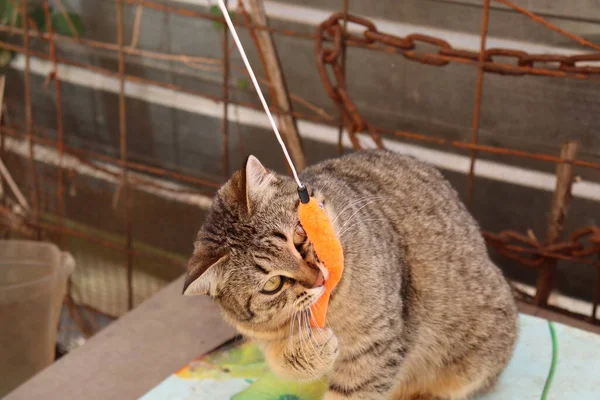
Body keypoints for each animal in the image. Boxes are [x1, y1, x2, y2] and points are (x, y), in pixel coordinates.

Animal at [183, 150, 516, 400]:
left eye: (300, 236)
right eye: (272, 284)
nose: (317, 279)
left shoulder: (375, 344)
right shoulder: (263, 335)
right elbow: (284, 360)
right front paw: (313, 348)